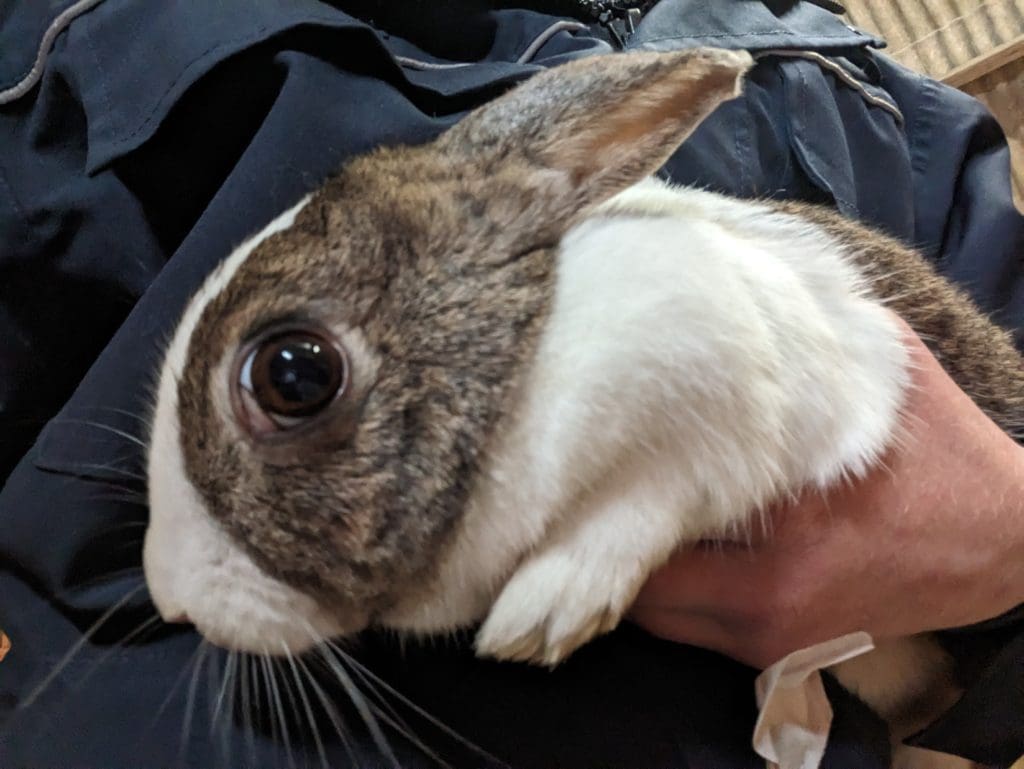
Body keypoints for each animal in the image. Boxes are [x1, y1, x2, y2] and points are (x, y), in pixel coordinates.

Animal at [143, 47, 1023, 768]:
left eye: (293, 374)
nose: (170, 595)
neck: (533, 370)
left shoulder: (771, 393)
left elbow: (668, 485)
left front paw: (543, 614)